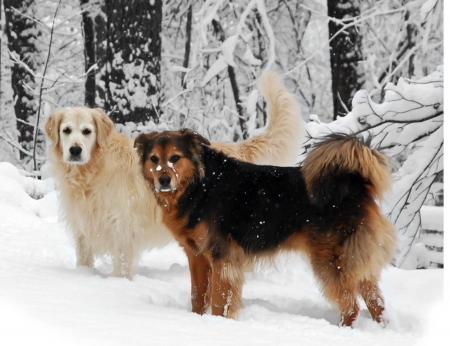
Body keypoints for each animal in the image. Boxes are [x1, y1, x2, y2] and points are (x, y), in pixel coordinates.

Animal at [44, 71, 306, 278]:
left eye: (87, 131)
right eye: (66, 130)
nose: (75, 150)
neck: (92, 172)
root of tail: (237, 150)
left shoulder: (122, 230)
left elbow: (121, 268)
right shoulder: (84, 229)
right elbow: (84, 260)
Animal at [134, 130, 398, 328]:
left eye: (175, 157)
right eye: (154, 159)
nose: (163, 180)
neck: (200, 184)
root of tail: (355, 184)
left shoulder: (222, 257)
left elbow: (219, 300)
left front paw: (219, 326)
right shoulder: (197, 256)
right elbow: (197, 297)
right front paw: (197, 320)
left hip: (330, 260)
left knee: (351, 306)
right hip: (353, 258)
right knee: (377, 302)